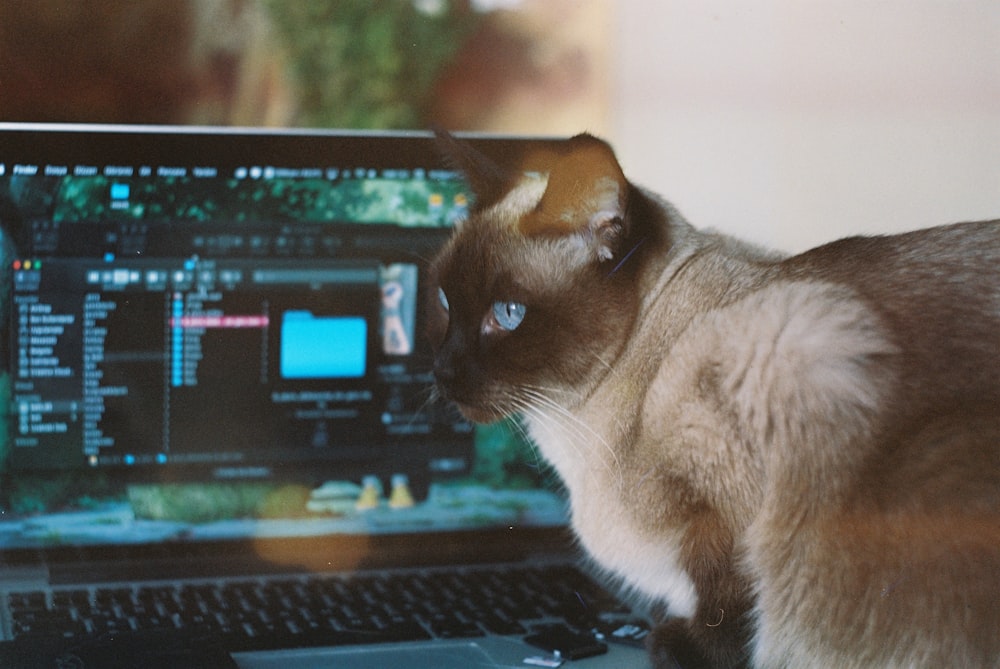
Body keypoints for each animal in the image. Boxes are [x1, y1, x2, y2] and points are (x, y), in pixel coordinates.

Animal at [430, 133, 1000, 664]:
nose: (441, 372)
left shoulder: (758, 460)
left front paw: (680, 647)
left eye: (508, 314)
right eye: (444, 302)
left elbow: (731, 596)